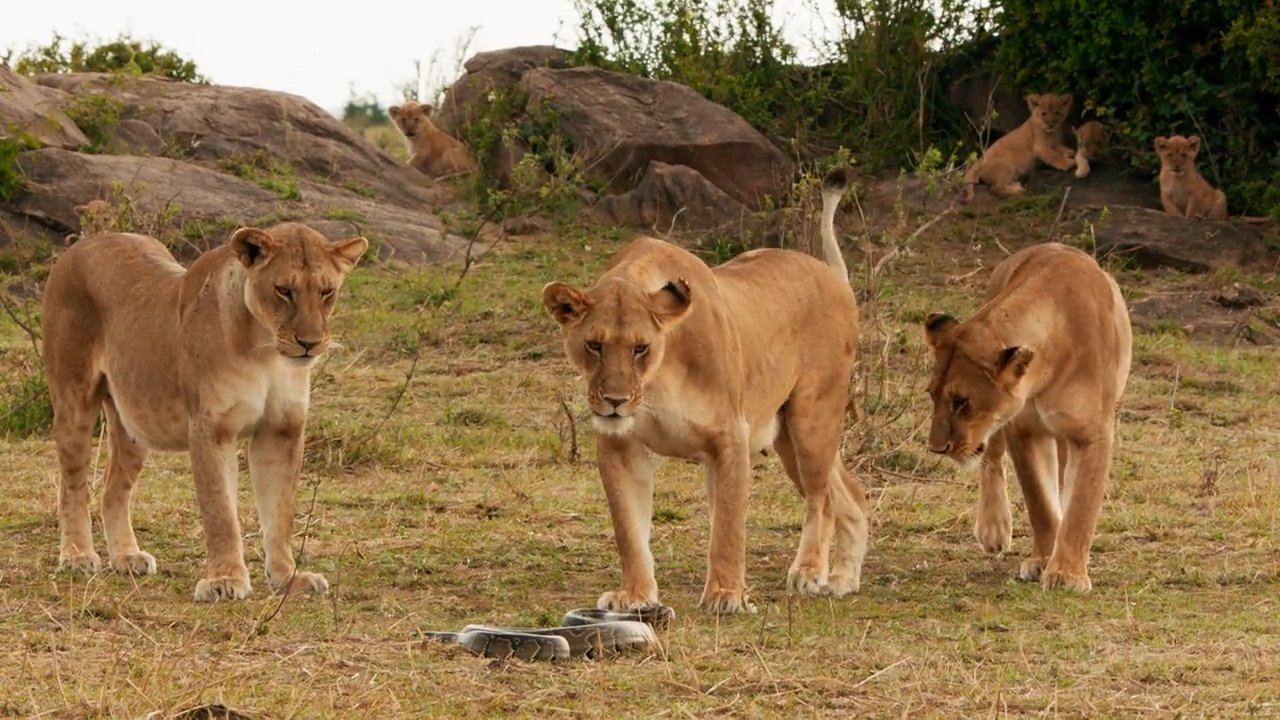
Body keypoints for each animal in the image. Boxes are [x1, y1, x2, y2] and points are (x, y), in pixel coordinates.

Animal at [42, 222, 368, 602]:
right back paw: (78, 555)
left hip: (135, 423)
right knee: (72, 486)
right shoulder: (211, 429)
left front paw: (288, 579)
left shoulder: (281, 431)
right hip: (74, 401)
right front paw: (224, 580)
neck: (266, 350)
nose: (310, 344)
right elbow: (220, 511)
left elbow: (280, 513)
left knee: (113, 489)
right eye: (284, 290)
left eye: (327, 292)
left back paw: (126, 557)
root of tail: (83, 244)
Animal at [541, 170, 870, 614]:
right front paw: (635, 594)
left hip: (811, 420)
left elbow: (728, 527)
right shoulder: (620, 446)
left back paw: (811, 571)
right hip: (786, 437)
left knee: (824, 499)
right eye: (594, 345)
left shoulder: (730, 437)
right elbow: (629, 529)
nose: (615, 401)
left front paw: (726, 595)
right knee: (852, 493)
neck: (656, 381)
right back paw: (842, 579)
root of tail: (832, 275)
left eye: (640, 348)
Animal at [923, 242, 1132, 592]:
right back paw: (994, 530)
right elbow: (1039, 502)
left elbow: (1081, 504)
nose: (936, 448)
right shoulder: (1022, 429)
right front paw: (1043, 560)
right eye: (931, 395)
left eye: (960, 402)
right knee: (991, 459)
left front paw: (1067, 574)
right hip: (998, 432)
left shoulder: (1092, 433)